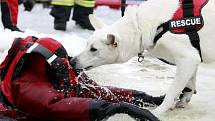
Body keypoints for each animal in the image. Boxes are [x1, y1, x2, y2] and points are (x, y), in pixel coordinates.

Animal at [72, 0, 215, 115]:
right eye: (86, 45)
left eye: (93, 49)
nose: (72, 61)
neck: (139, 26)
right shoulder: (192, 58)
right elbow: (189, 82)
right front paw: (185, 98)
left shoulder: (188, 58)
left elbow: (172, 91)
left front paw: (159, 111)